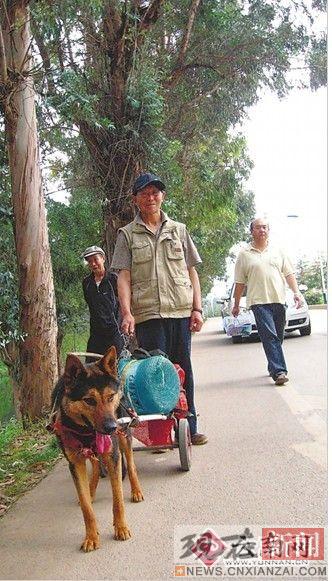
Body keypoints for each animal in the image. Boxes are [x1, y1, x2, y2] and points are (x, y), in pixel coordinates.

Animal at [50, 346, 143, 552]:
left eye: (110, 397)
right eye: (89, 400)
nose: (111, 428)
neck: (85, 432)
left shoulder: (113, 454)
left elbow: (118, 499)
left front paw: (121, 528)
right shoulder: (75, 463)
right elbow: (86, 508)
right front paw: (91, 537)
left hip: (124, 435)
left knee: (131, 464)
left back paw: (136, 491)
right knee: (94, 467)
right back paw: (91, 490)